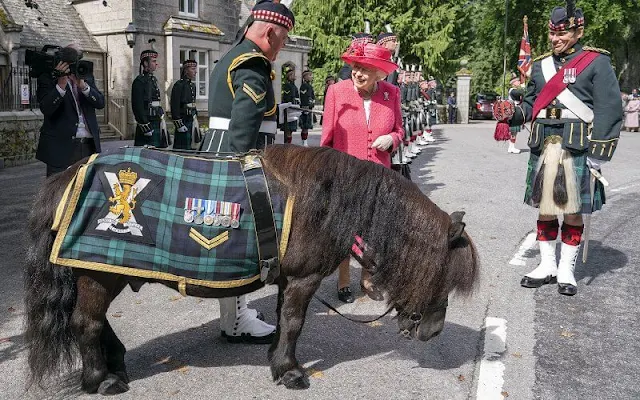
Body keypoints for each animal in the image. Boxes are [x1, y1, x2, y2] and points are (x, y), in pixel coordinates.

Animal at [22, 145, 478, 394]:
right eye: (444, 273)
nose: (433, 331)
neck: (324, 199)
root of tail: (70, 175)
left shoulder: (289, 280)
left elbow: (283, 319)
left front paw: (278, 362)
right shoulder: (303, 279)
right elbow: (293, 322)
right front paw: (290, 372)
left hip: (105, 271)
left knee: (97, 323)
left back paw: (114, 364)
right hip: (99, 272)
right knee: (86, 324)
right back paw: (101, 379)